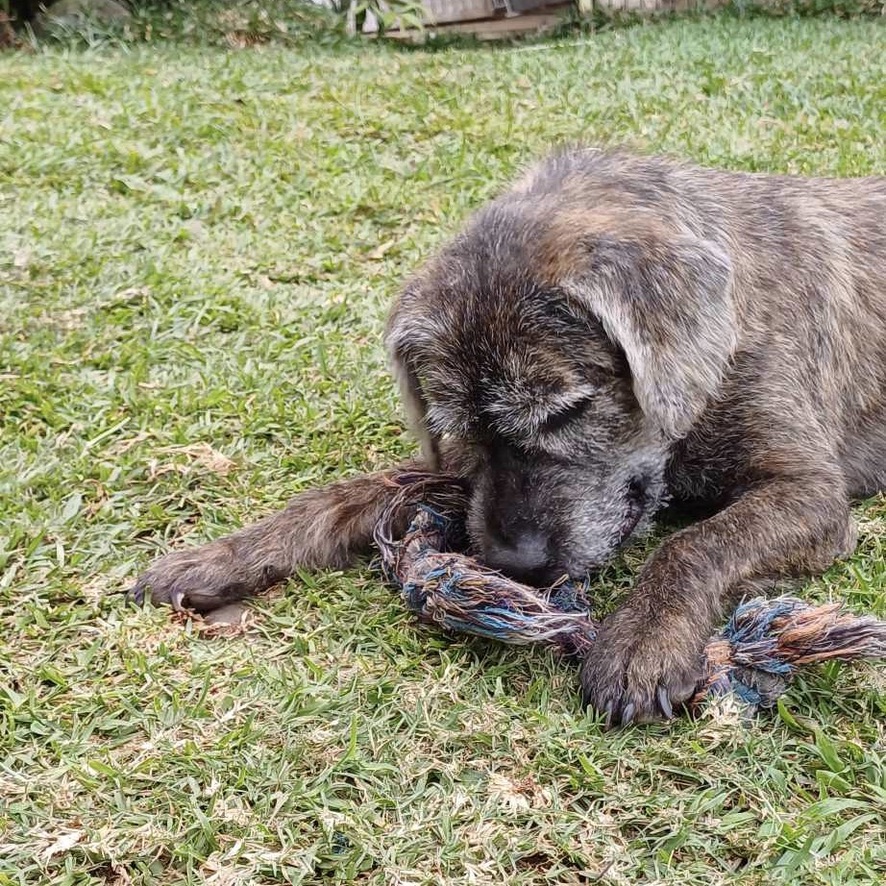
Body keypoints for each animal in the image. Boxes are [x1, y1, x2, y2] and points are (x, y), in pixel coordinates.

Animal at [130, 149, 886, 724]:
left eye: (565, 412)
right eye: (458, 427)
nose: (512, 566)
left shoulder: (810, 493)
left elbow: (696, 543)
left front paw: (644, 637)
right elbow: (346, 494)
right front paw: (222, 556)